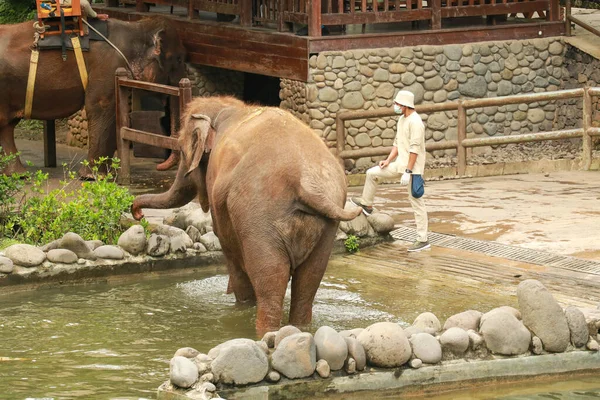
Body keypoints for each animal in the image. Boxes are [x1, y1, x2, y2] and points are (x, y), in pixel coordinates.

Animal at [0, 16, 186, 177]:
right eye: (178, 60)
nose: (159, 166)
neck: (135, 27)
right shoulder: (108, 68)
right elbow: (100, 107)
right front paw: (93, 177)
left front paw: (107, 173)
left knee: (7, 127)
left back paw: (17, 174)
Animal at [131, 96, 360, 334]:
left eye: (183, 152)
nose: (138, 213)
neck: (227, 106)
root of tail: (306, 183)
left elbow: (229, 249)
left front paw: (238, 303)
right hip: (327, 226)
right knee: (308, 282)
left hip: (259, 218)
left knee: (270, 280)